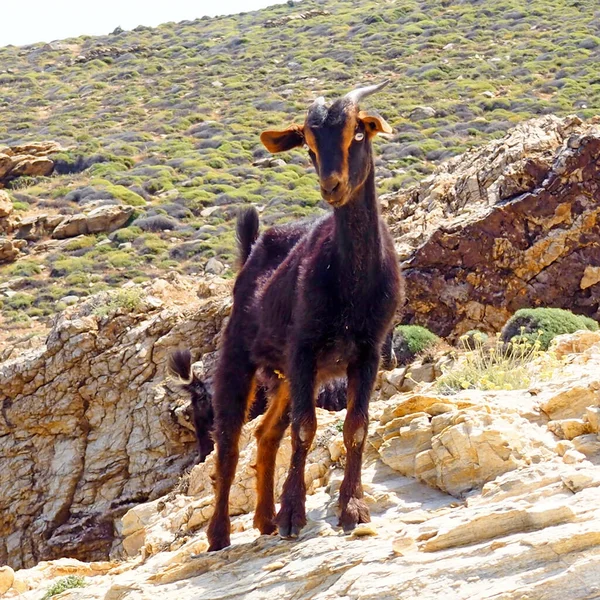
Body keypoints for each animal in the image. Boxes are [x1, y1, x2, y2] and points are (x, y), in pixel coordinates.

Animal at [206, 82, 404, 552]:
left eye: (357, 133)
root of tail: (252, 251)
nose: (332, 186)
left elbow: (355, 426)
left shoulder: (368, 352)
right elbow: (305, 430)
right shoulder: (304, 349)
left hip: (286, 379)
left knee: (265, 436)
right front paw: (294, 515)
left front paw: (352, 508)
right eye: (309, 147)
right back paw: (220, 534)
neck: (352, 282)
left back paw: (264, 519)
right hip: (240, 359)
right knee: (230, 443)